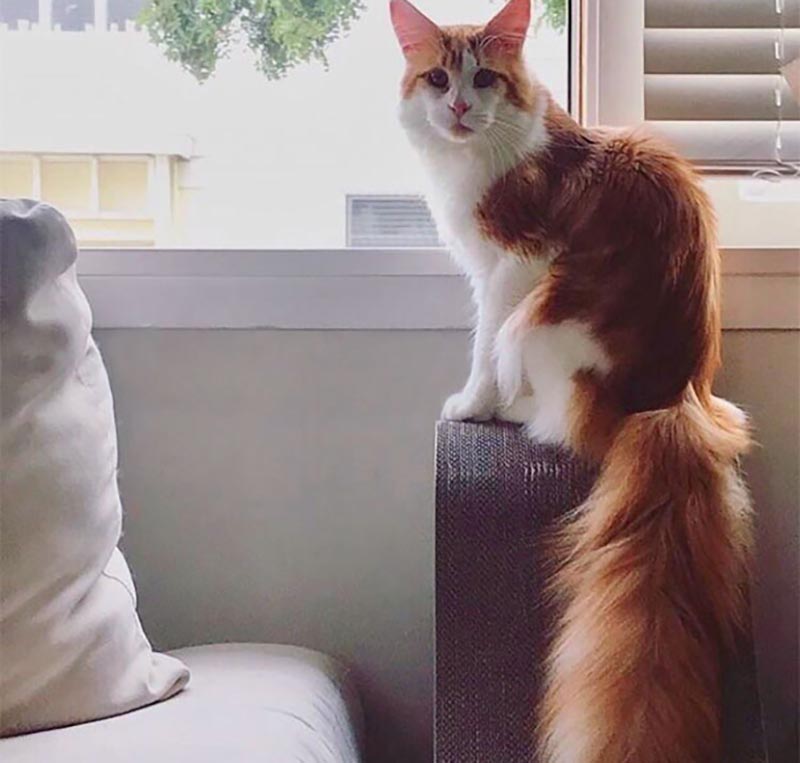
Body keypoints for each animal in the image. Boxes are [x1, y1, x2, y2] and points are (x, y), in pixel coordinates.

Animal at [394, 0, 756, 760]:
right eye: (438, 78)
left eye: (485, 78)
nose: (461, 106)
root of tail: (671, 400)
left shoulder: (512, 265)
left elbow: (480, 346)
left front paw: (471, 404)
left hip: (544, 314)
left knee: (556, 416)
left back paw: (514, 408)